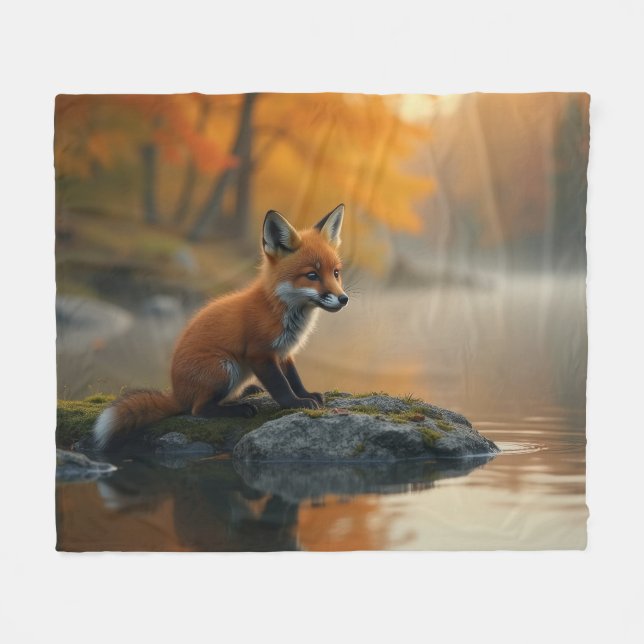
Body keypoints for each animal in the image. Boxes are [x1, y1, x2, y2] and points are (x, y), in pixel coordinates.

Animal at [94, 203, 348, 449]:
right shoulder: (260, 354)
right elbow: (281, 385)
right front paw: (295, 403)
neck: (278, 309)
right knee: (198, 409)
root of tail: (177, 393)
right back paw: (238, 408)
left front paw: (306, 394)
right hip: (225, 367)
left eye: (335, 273)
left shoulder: (284, 352)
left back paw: (246, 392)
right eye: (312, 275)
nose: (343, 299)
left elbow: (294, 378)